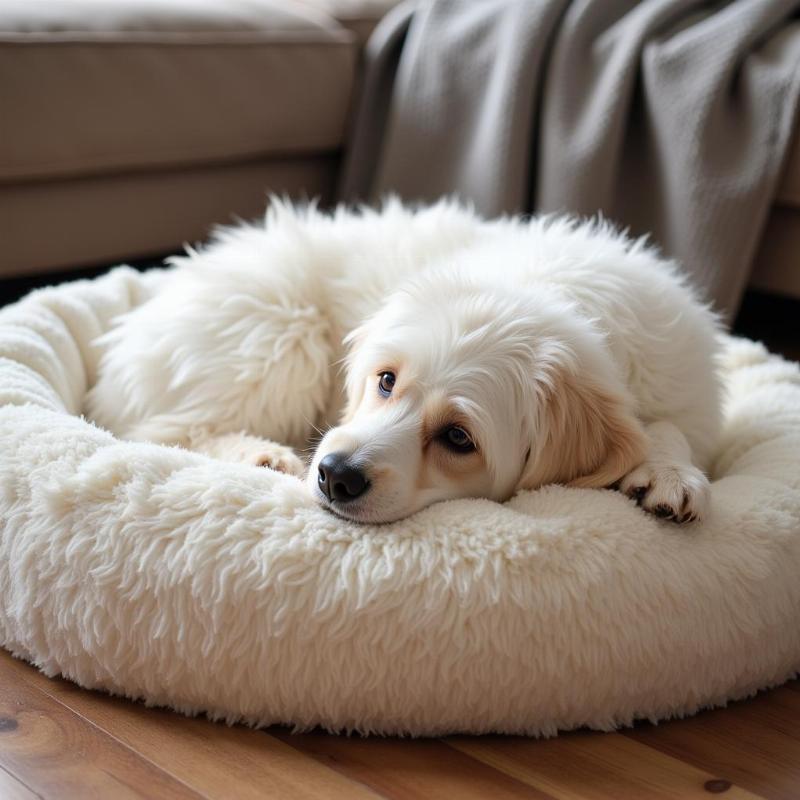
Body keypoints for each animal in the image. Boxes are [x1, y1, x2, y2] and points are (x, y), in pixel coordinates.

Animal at [89, 200, 724, 524]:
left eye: (460, 438)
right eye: (386, 380)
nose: (333, 474)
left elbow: (664, 428)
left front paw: (669, 473)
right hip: (277, 331)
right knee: (164, 428)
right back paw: (260, 454)